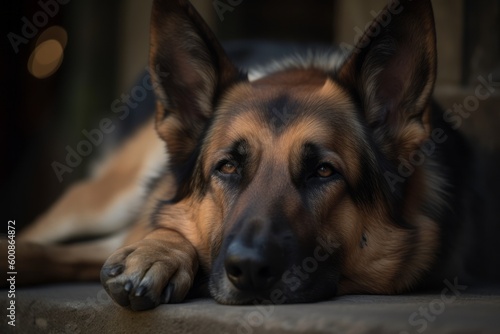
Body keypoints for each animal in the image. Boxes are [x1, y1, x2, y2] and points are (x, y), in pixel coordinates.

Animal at [4, 0, 480, 312]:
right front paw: (159, 251)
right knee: (44, 233)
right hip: (101, 202)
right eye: (227, 167)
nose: (249, 269)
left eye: (324, 171)